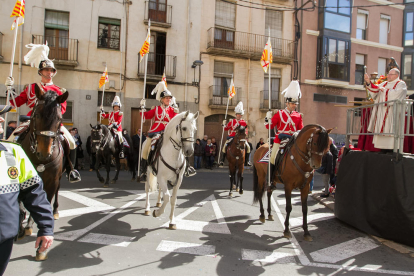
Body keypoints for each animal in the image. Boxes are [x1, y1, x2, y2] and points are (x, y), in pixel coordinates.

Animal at [18, 84, 68, 237]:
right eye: (37, 115)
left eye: (59, 118)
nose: (44, 153)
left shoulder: (52, 181)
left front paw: (29, 225)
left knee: (57, 191)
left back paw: (56, 211)